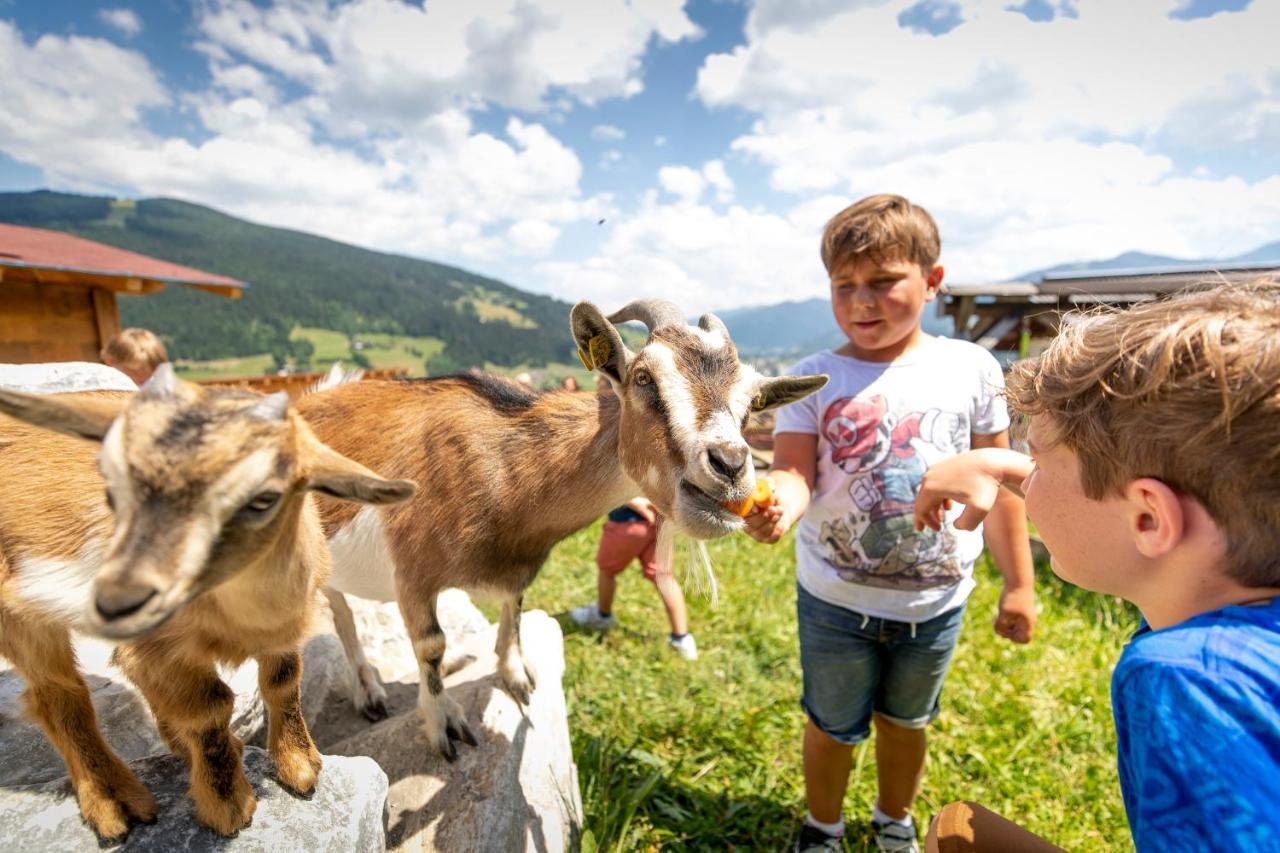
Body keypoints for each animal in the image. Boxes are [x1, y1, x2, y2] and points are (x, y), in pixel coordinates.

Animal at [0, 366, 412, 835]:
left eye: (264, 498)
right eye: (115, 491)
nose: (118, 598)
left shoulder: (284, 627)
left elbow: (284, 679)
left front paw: (300, 765)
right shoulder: (165, 649)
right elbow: (210, 706)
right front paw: (227, 803)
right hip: (20, 614)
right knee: (59, 694)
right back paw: (113, 800)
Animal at [299, 298, 829, 758]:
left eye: (753, 402)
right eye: (644, 378)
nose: (730, 465)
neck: (502, 472)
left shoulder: (519, 568)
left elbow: (513, 612)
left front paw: (516, 675)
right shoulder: (413, 573)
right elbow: (430, 645)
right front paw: (443, 724)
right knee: (340, 613)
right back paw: (368, 690)